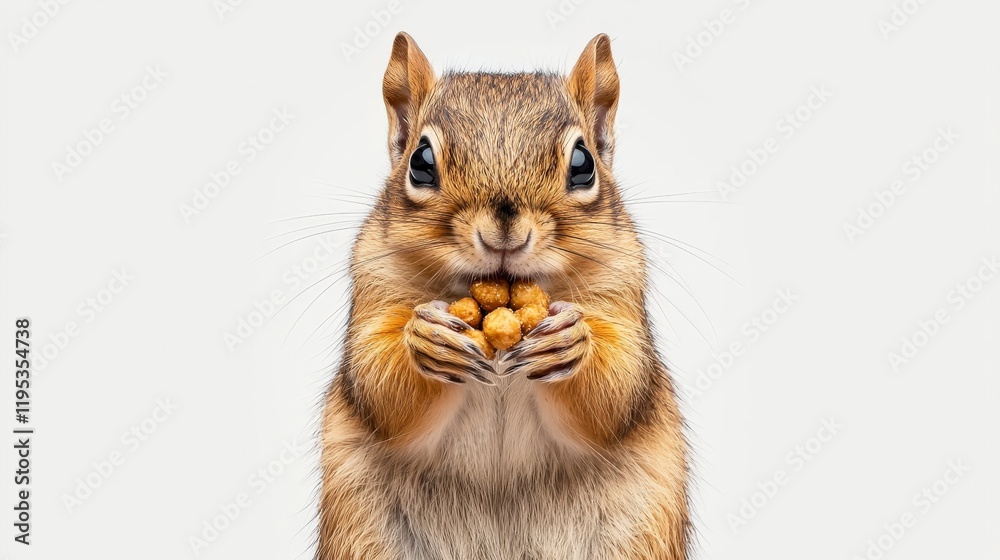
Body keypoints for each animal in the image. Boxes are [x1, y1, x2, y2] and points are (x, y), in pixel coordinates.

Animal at [318, 33, 689, 559]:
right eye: (420, 162)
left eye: (583, 164)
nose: (504, 232)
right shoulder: (375, 280)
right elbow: (377, 383)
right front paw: (429, 339)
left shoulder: (622, 285)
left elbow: (618, 387)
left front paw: (569, 341)